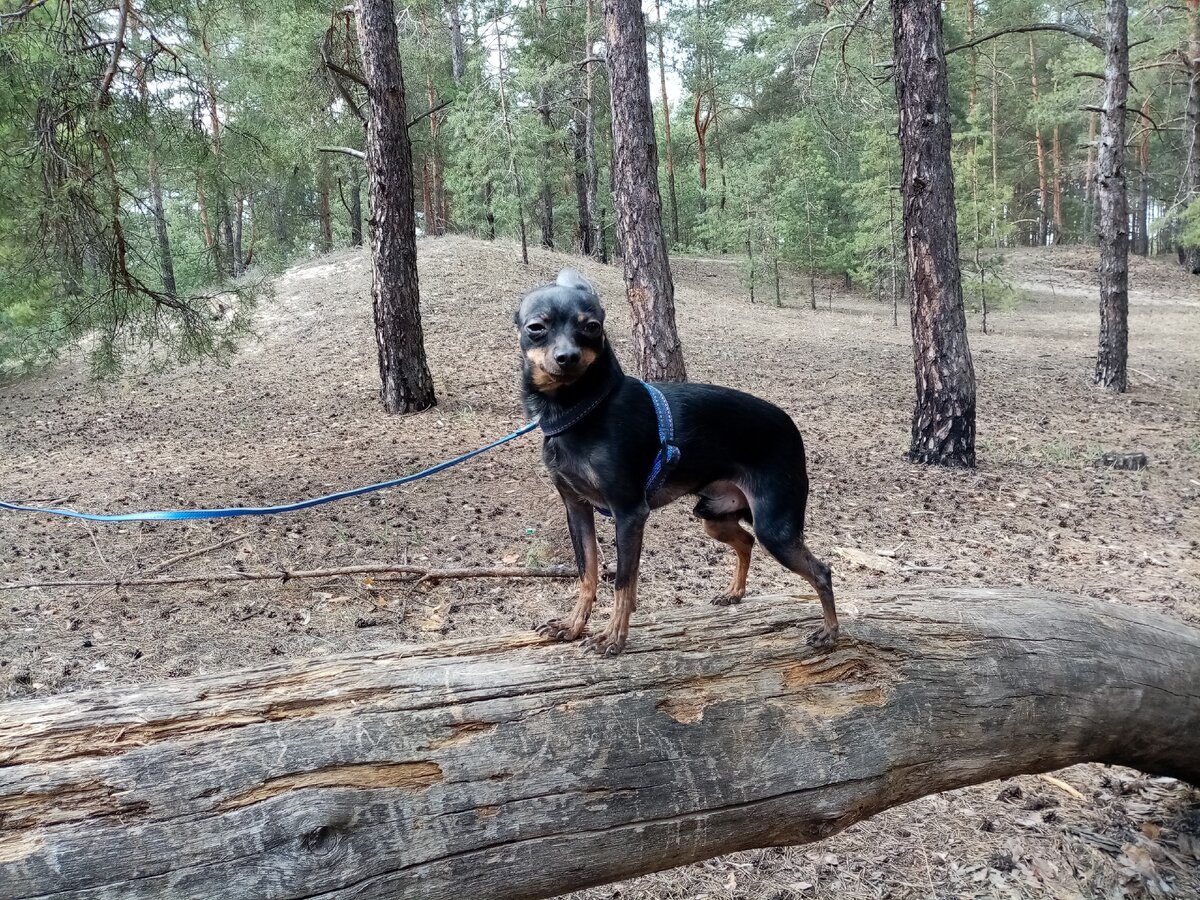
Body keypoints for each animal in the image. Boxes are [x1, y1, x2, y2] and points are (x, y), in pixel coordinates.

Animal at [516, 267, 835, 657]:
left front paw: (613, 637)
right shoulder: (576, 508)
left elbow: (623, 583)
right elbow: (586, 573)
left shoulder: (629, 513)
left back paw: (830, 632)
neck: (579, 409)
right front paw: (572, 626)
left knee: (821, 572)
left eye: (591, 326)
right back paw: (734, 593)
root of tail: (792, 427)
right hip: (713, 516)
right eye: (536, 327)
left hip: (775, 528)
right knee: (746, 542)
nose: (567, 357)